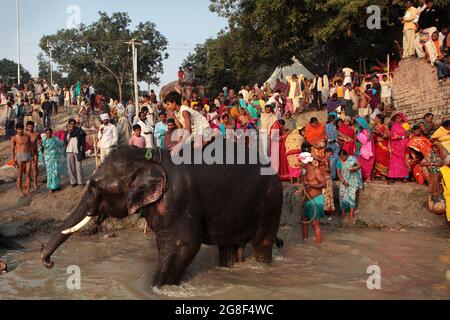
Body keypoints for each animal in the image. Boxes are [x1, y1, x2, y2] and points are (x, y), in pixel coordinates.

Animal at [41, 142, 282, 288]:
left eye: (94, 188)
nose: (49, 262)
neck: (148, 158)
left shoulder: (177, 200)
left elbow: (182, 245)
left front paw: (156, 288)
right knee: (229, 247)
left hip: (270, 200)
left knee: (262, 242)